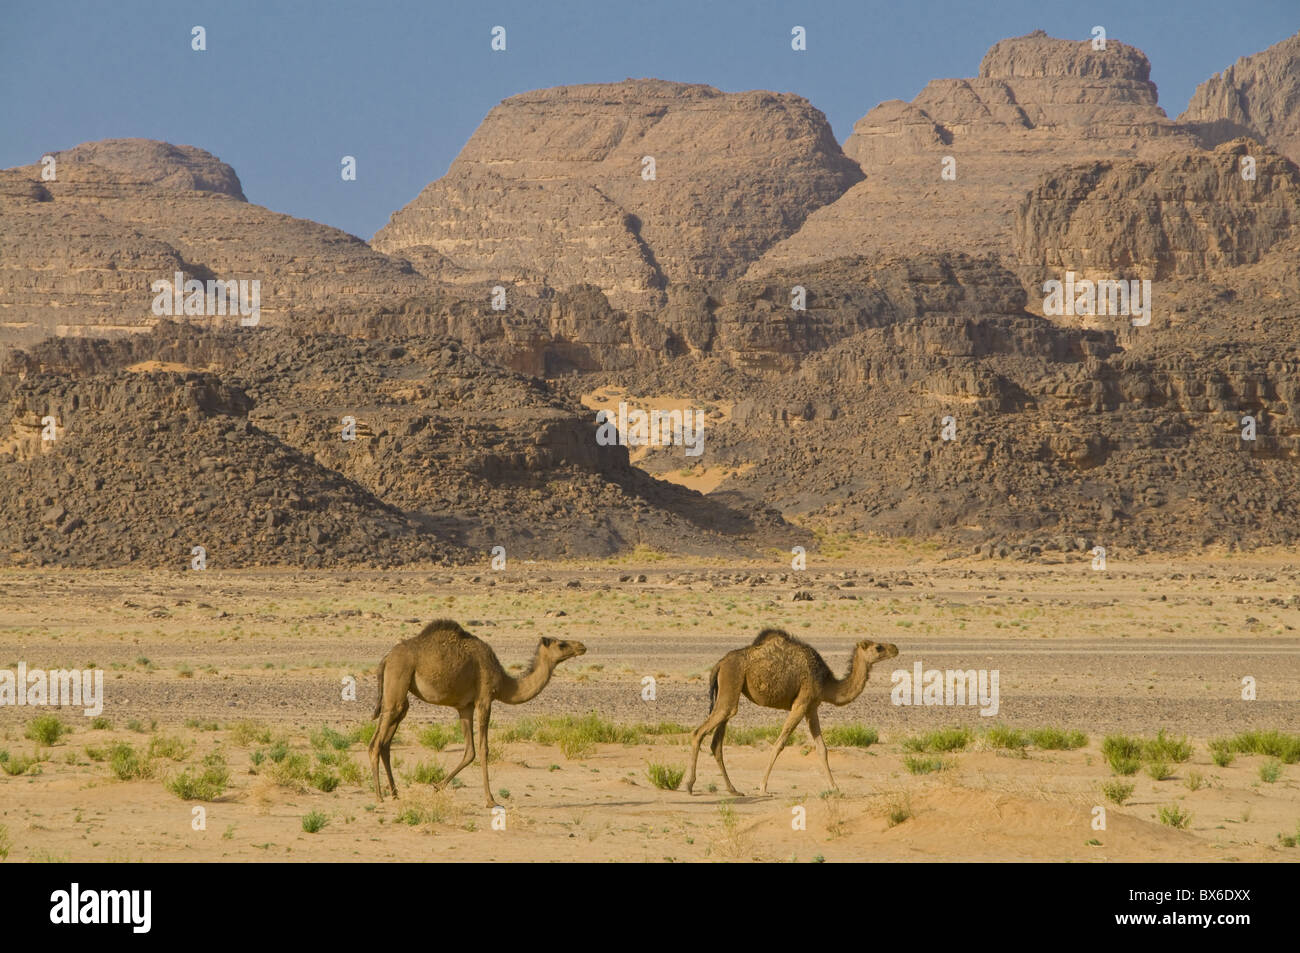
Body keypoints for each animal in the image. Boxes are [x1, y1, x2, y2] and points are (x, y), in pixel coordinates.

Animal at [369, 616, 587, 800]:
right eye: (561, 644)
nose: (582, 646)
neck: (504, 682)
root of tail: (386, 658)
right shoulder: (484, 700)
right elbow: (483, 749)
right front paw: (490, 799)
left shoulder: (465, 707)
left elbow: (470, 751)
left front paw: (437, 786)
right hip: (398, 678)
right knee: (376, 744)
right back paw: (379, 797)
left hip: (398, 695)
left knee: (386, 742)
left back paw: (395, 793)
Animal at [686, 624, 899, 795]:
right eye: (878, 647)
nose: (895, 648)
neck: (826, 683)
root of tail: (719, 664)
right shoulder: (801, 703)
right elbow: (779, 743)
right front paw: (763, 787)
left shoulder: (812, 707)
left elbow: (822, 748)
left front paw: (835, 787)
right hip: (731, 682)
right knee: (699, 732)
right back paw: (689, 785)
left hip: (729, 692)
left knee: (717, 742)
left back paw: (733, 790)